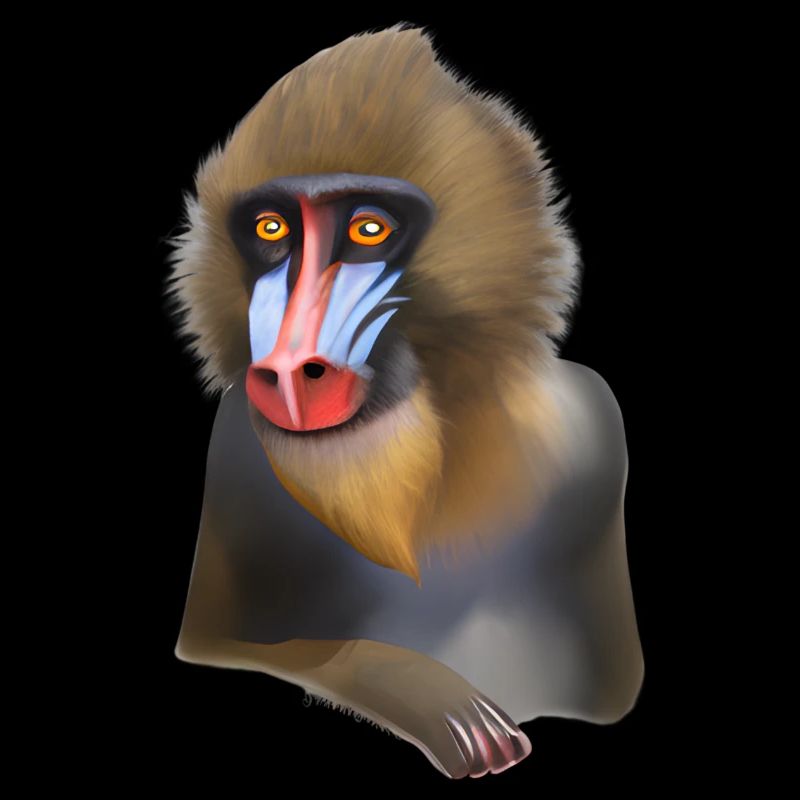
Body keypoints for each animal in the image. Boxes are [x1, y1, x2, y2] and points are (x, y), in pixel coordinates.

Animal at [166, 24, 644, 779]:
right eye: (272, 229)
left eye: (369, 228)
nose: (288, 372)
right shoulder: (232, 444)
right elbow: (226, 646)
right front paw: (431, 694)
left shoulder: (598, 429)